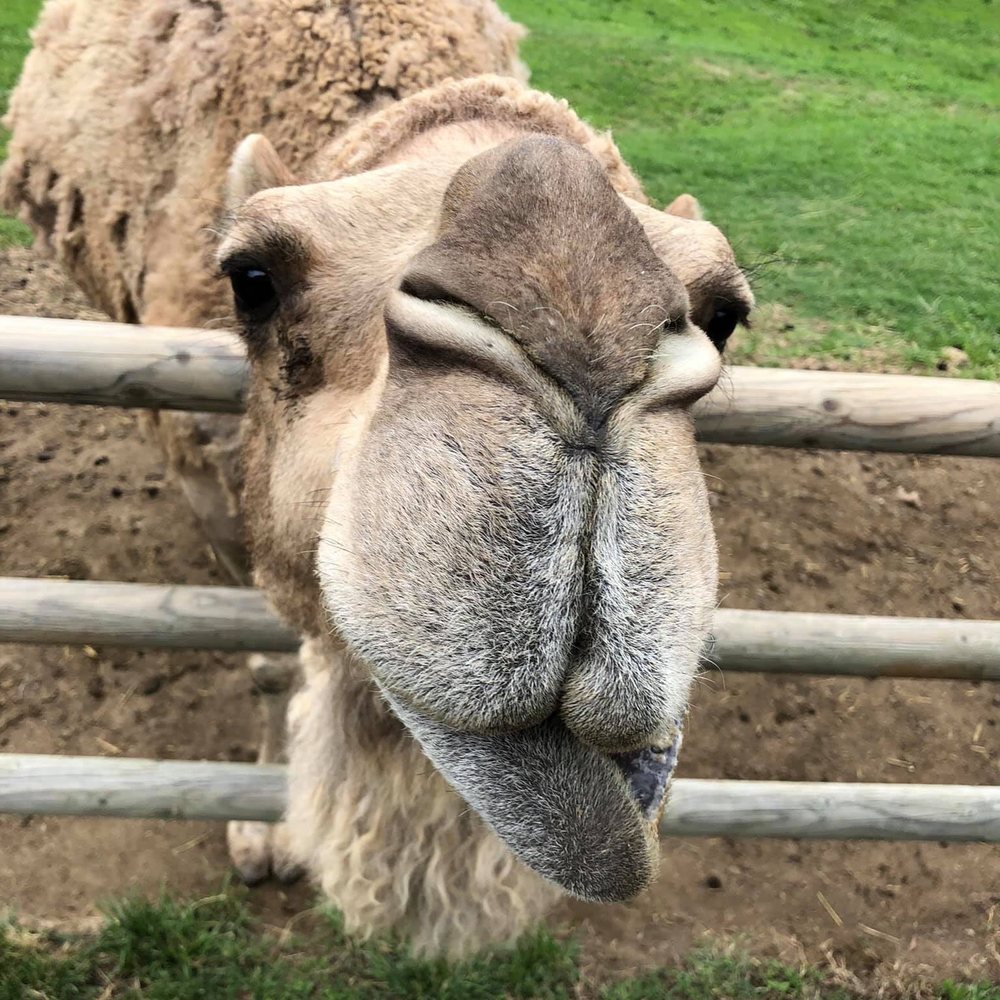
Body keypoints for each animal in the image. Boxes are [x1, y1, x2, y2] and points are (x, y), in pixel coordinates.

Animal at [1, 0, 752, 956]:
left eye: (724, 314)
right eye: (253, 277)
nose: (582, 307)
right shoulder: (209, 474)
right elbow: (264, 658)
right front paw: (262, 835)